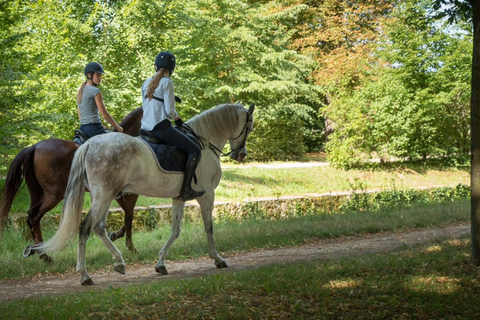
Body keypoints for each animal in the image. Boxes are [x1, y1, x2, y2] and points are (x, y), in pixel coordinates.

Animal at [0, 107, 143, 262]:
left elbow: (127, 215)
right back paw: (44, 256)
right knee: (34, 216)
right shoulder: (130, 194)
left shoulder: (117, 194)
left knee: (32, 219)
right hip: (54, 194)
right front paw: (131, 247)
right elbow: (129, 217)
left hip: (37, 193)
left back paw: (39, 253)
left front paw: (116, 235)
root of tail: (33, 147)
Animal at [30, 103, 255, 284]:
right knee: (85, 227)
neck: (204, 142)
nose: (240, 154)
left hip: (105, 195)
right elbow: (209, 228)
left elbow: (175, 231)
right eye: (249, 127)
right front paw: (217, 259)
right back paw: (84, 275)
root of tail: (89, 143)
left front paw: (161, 264)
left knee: (99, 227)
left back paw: (119, 262)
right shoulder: (207, 196)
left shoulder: (179, 197)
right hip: (101, 196)